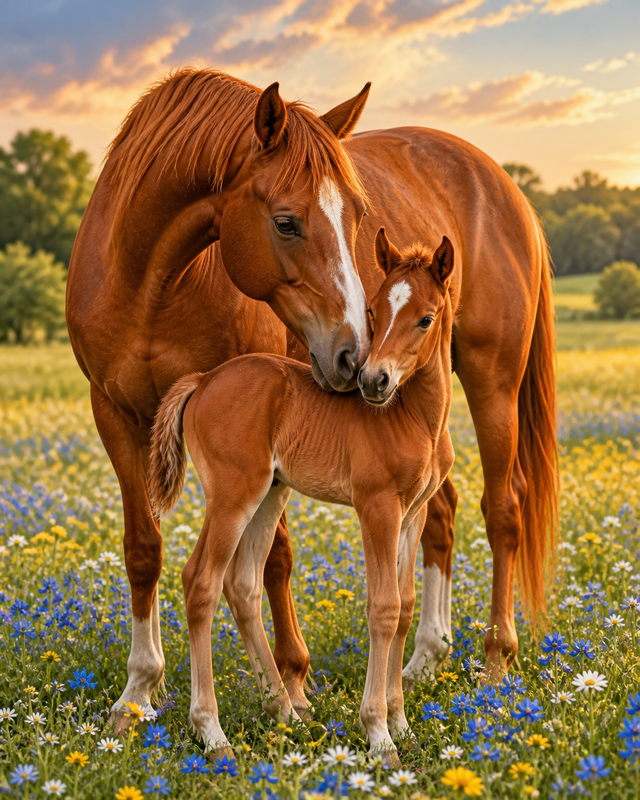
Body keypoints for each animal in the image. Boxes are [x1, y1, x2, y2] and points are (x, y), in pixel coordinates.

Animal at [147, 229, 456, 760]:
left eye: (426, 317)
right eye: (374, 311)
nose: (372, 380)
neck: (415, 416)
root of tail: (204, 380)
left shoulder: (412, 513)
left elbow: (406, 606)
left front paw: (403, 725)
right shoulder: (376, 507)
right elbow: (383, 607)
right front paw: (378, 733)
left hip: (270, 495)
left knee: (243, 586)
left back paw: (284, 712)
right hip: (233, 495)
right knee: (201, 581)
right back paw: (211, 731)